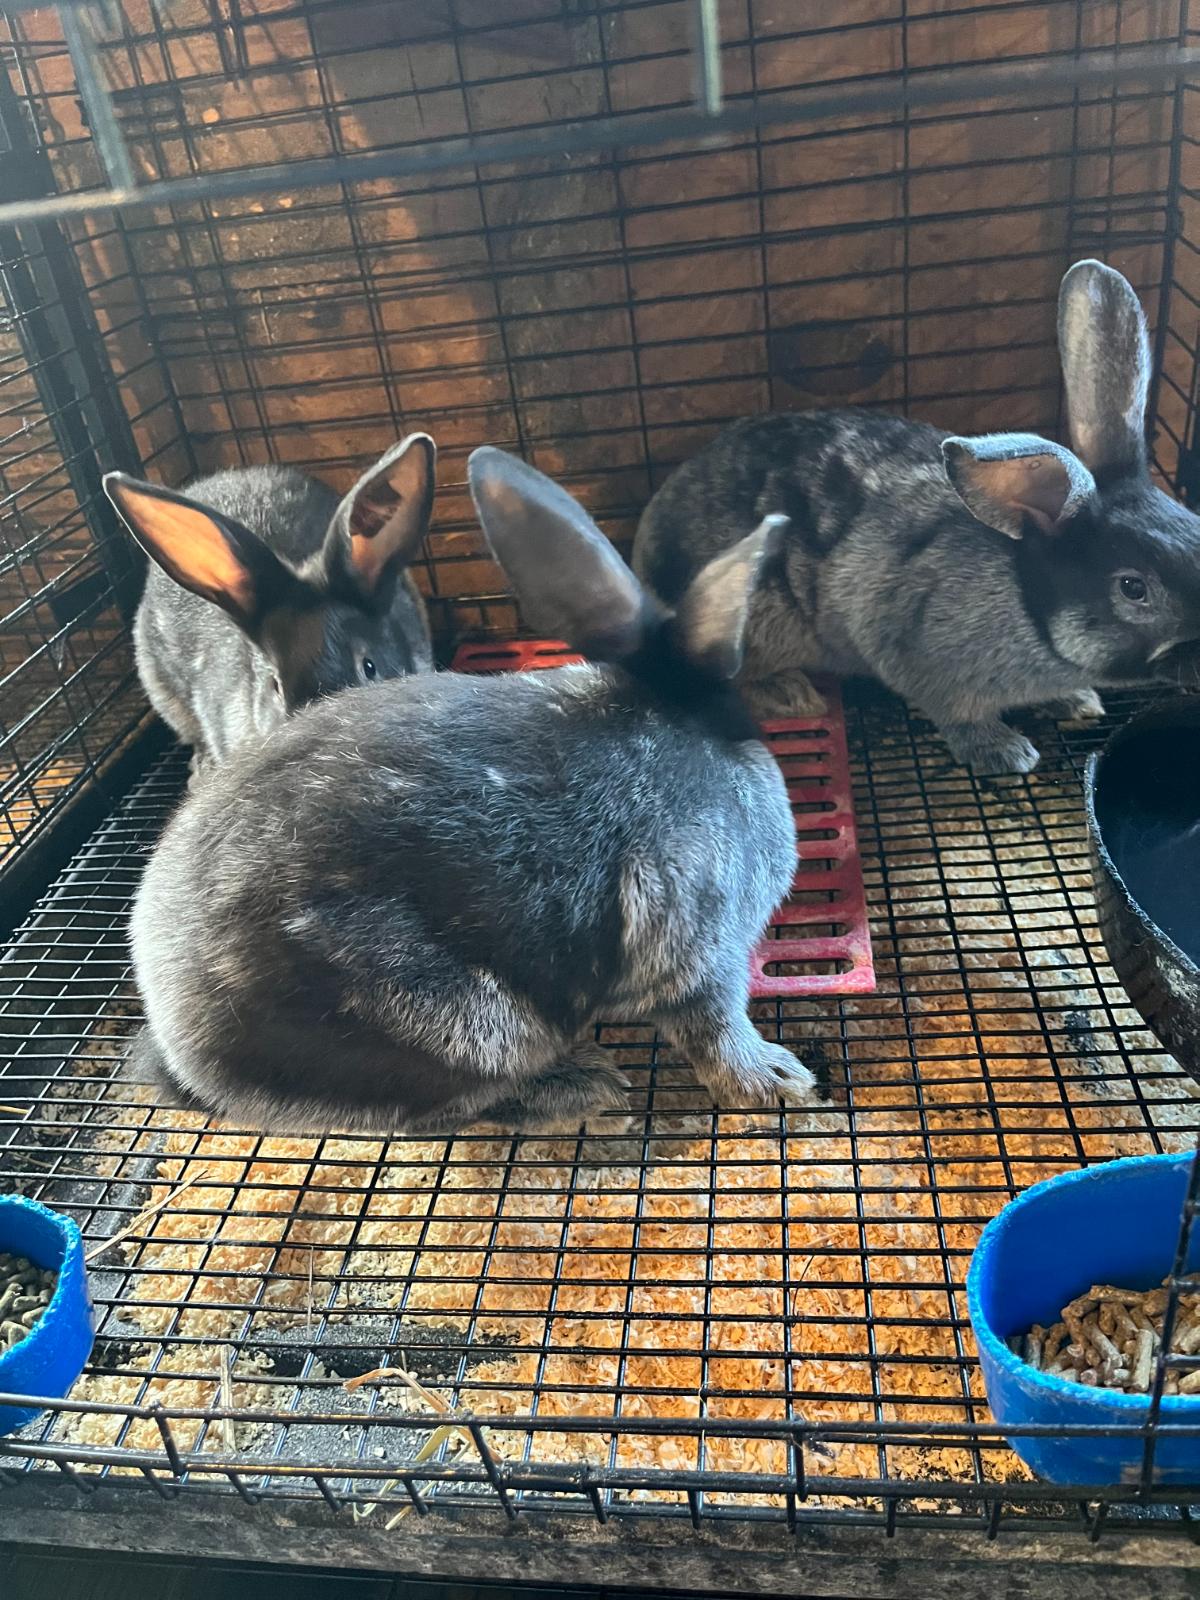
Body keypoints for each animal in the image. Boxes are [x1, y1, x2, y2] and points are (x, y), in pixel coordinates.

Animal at [126, 448, 818, 1136]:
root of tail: (184, 1048)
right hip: (467, 1025)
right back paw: (580, 1086)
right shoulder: (700, 950)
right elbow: (715, 1028)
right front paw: (778, 1080)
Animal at [632, 260, 1200, 775]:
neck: (1026, 606)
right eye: (1133, 588)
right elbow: (957, 716)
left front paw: (1078, 702)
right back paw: (792, 693)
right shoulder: (920, 657)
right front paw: (1004, 751)